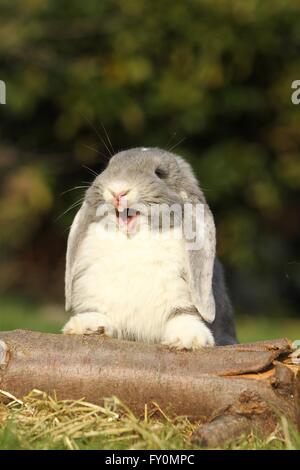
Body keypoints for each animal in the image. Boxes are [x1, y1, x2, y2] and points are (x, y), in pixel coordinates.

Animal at [63, 148, 237, 348]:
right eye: (108, 166)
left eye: (160, 173)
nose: (118, 190)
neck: (131, 241)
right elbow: (98, 311)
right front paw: (86, 326)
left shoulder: (181, 295)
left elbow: (183, 315)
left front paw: (188, 339)